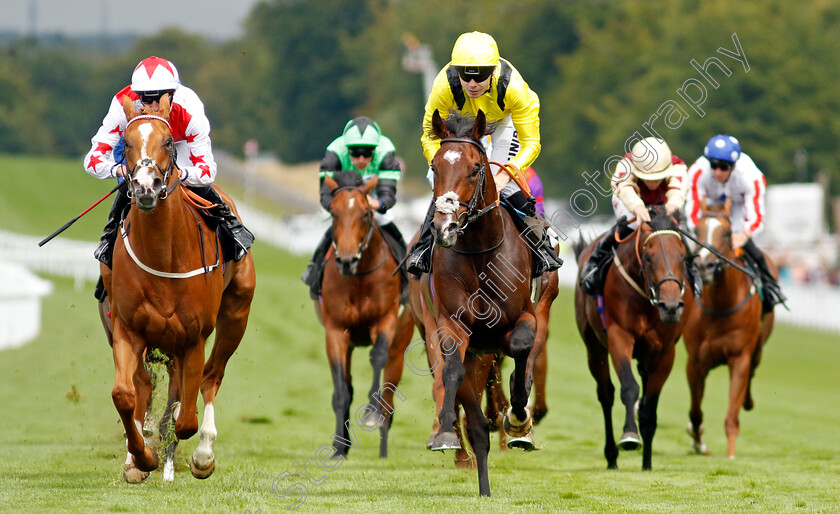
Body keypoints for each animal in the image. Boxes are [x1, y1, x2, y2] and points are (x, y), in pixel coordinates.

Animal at [99, 94, 256, 482]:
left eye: (169, 142)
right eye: (126, 142)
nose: (146, 187)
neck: (163, 254)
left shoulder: (193, 337)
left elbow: (185, 417)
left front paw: (176, 445)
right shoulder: (127, 328)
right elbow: (125, 393)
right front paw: (142, 457)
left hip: (236, 315)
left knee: (211, 378)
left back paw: (202, 455)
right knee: (145, 385)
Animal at [316, 170, 414, 458]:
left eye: (365, 214)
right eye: (334, 213)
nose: (346, 260)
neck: (358, 277)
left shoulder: (386, 321)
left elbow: (377, 356)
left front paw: (371, 413)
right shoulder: (336, 331)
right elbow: (341, 392)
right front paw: (339, 447)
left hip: (400, 345)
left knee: (389, 393)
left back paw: (383, 448)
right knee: (347, 386)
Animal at [412, 109, 540, 496]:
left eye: (474, 168)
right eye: (436, 166)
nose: (445, 228)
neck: (481, 254)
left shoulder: (527, 317)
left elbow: (521, 345)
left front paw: (518, 416)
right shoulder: (452, 325)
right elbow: (451, 370)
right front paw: (444, 429)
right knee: (477, 424)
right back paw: (481, 482)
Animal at [576, 206, 692, 470]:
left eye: (683, 257)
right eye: (648, 257)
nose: (671, 307)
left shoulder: (665, 351)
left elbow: (649, 407)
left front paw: (647, 463)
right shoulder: (620, 336)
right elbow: (629, 388)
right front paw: (629, 436)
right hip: (593, 346)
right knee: (606, 394)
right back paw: (611, 456)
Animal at [684, 199, 776, 456]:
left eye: (726, 232)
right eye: (697, 230)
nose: (704, 266)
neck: (720, 305)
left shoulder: (739, 358)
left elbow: (731, 416)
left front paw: (731, 455)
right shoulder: (695, 361)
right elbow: (695, 412)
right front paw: (697, 440)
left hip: (758, 348)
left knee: (752, 372)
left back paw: (748, 401)